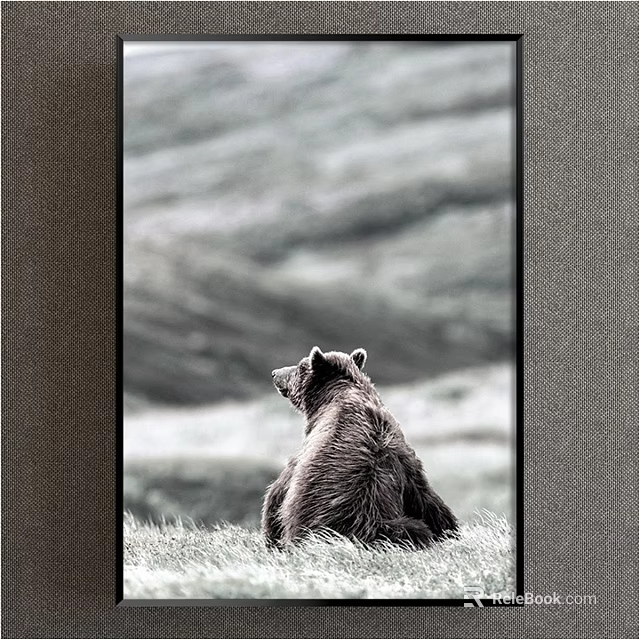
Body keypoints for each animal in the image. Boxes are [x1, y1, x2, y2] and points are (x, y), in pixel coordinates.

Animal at [261, 346, 458, 549]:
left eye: (301, 366)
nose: (275, 373)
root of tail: (370, 521)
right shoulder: (405, 454)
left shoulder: (308, 451)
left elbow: (278, 491)